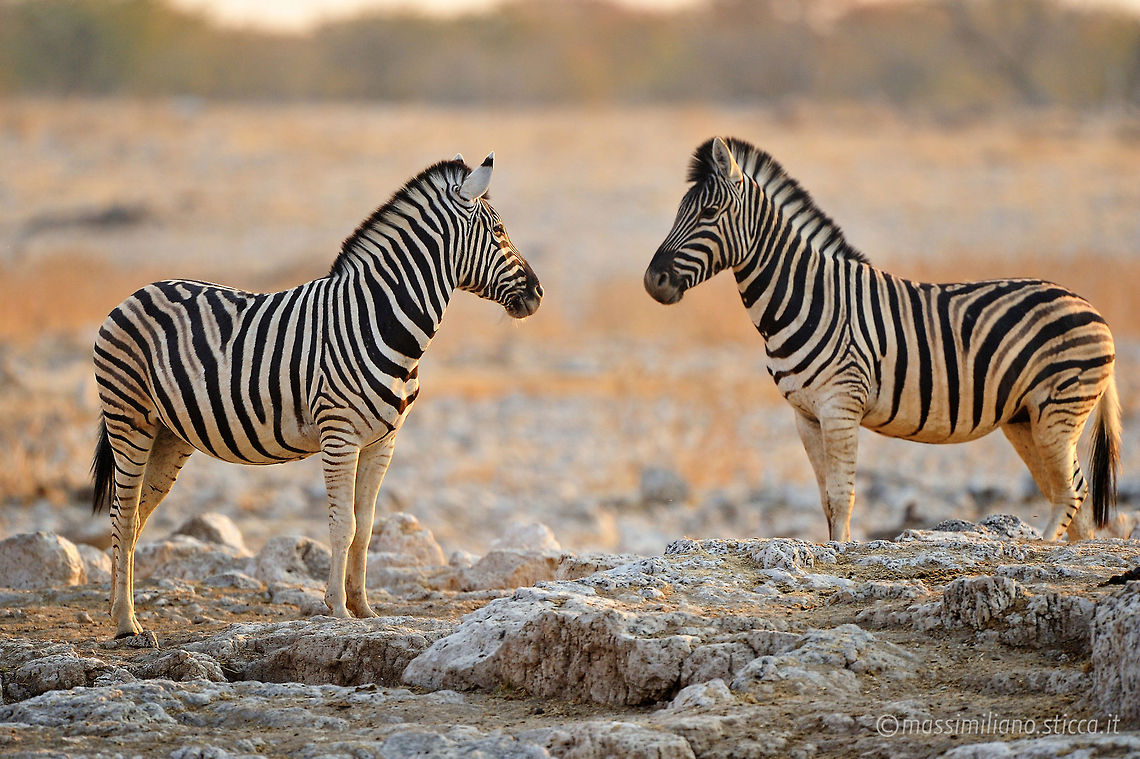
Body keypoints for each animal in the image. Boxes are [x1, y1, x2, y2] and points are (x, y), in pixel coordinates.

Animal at [91, 152, 542, 639]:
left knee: (135, 516)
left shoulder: (384, 441)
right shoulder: (339, 435)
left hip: (170, 434)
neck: (379, 319)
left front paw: (365, 610)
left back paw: (120, 611)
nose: (538, 294)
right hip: (129, 418)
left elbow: (366, 526)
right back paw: (126, 625)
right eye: (498, 232)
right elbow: (343, 525)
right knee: (122, 515)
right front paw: (337, 609)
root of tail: (136, 293)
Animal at [644, 136, 1120, 543]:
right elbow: (825, 500)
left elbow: (842, 497)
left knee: (1073, 490)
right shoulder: (806, 415)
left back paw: (1039, 549)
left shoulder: (840, 406)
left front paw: (839, 556)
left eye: (709, 213)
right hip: (1025, 418)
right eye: (679, 210)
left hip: (1059, 411)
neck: (808, 296)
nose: (653, 281)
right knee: (1070, 497)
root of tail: (1094, 310)